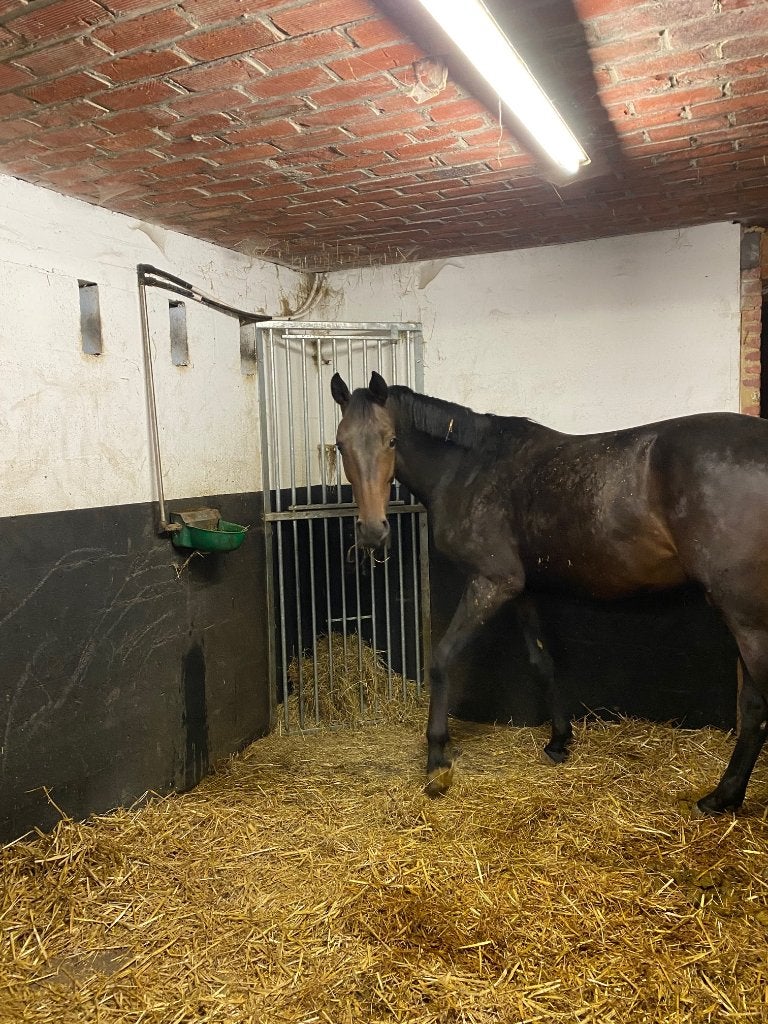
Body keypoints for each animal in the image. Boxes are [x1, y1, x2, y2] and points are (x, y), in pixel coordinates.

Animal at [331, 370, 768, 816]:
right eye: (341, 444)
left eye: (391, 440)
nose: (372, 532)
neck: (469, 469)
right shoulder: (522, 590)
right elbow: (543, 661)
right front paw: (560, 741)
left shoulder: (492, 582)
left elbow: (442, 658)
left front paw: (437, 762)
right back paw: (724, 796)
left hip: (747, 619)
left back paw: (723, 796)